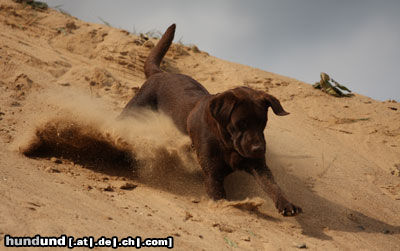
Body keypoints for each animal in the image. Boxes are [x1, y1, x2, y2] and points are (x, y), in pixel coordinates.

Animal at [120, 24, 302, 216]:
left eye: (262, 123)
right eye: (241, 123)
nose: (259, 149)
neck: (226, 143)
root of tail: (161, 73)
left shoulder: (258, 166)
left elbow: (273, 186)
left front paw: (287, 204)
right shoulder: (212, 174)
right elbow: (219, 194)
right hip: (135, 107)